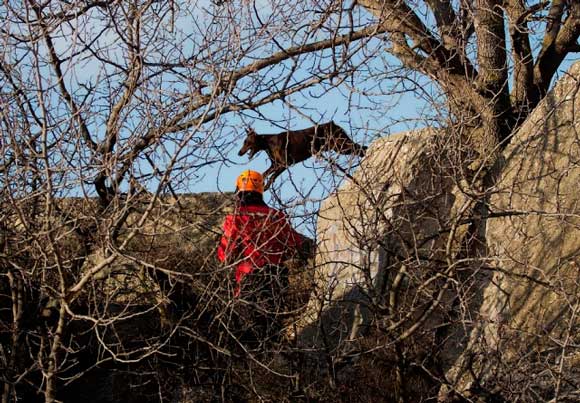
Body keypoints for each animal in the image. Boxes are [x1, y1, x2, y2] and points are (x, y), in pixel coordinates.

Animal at [239, 121, 368, 189]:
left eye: (246, 142)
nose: (239, 153)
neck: (269, 143)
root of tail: (334, 124)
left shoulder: (285, 164)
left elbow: (271, 177)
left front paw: (265, 187)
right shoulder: (275, 165)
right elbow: (264, 174)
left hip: (342, 145)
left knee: (361, 148)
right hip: (339, 147)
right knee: (361, 149)